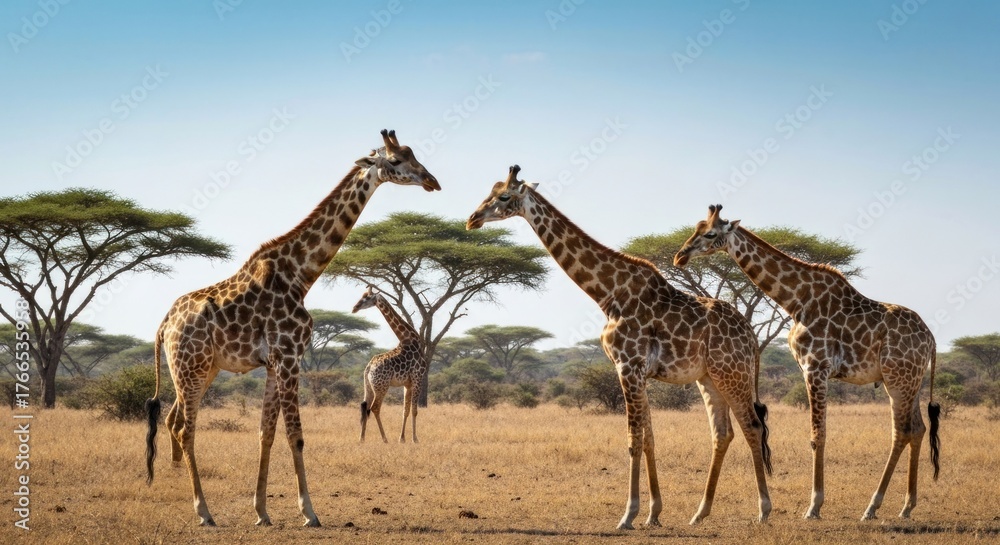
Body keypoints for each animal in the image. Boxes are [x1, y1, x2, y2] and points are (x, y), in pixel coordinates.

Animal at [351, 285, 426, 443]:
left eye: (366, 297)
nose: (354, 308)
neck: (409, 339)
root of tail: (368, 368)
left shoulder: (408, 384)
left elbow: (406, 410)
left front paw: (402, 438)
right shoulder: (418, 378)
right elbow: (415, 410)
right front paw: (415, 439)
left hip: (368, 386)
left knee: (365, 407)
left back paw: (362, 439)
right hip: (382, 387)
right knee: (375, 408)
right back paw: (384, 438)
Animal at [466, 166, 772, 529]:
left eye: (503, 196)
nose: (472, 219)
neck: (607, 293)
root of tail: (751, 335)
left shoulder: (628, 366)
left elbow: (633, 440)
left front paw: (628, 514)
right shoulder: (638, 372)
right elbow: (649, 438)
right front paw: (654, 512)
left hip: (732, 373)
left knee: (753, 426)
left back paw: (763, 509)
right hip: (708, 377)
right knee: (723, 433)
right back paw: (700, 513)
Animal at [674, 205, 940, 521]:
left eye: (710, 234)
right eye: (696, 228)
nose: (680, 256)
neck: (796, 301)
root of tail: (931, 339)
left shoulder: (816, 368)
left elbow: (817, 436)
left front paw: (814, 506)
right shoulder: (810, 369)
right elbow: (817, 434)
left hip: (898, 378)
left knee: (902, 431)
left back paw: (872, 507)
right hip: (908, 380)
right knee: (918, 428)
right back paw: (907, 506)